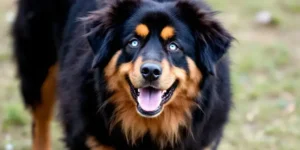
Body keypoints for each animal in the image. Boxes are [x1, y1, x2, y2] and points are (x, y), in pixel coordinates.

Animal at [11, 0, 233, 149]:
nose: (150, 71)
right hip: (39, 67)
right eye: (133, 42)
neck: (149, 128)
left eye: (174, 46)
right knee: (40, 123)